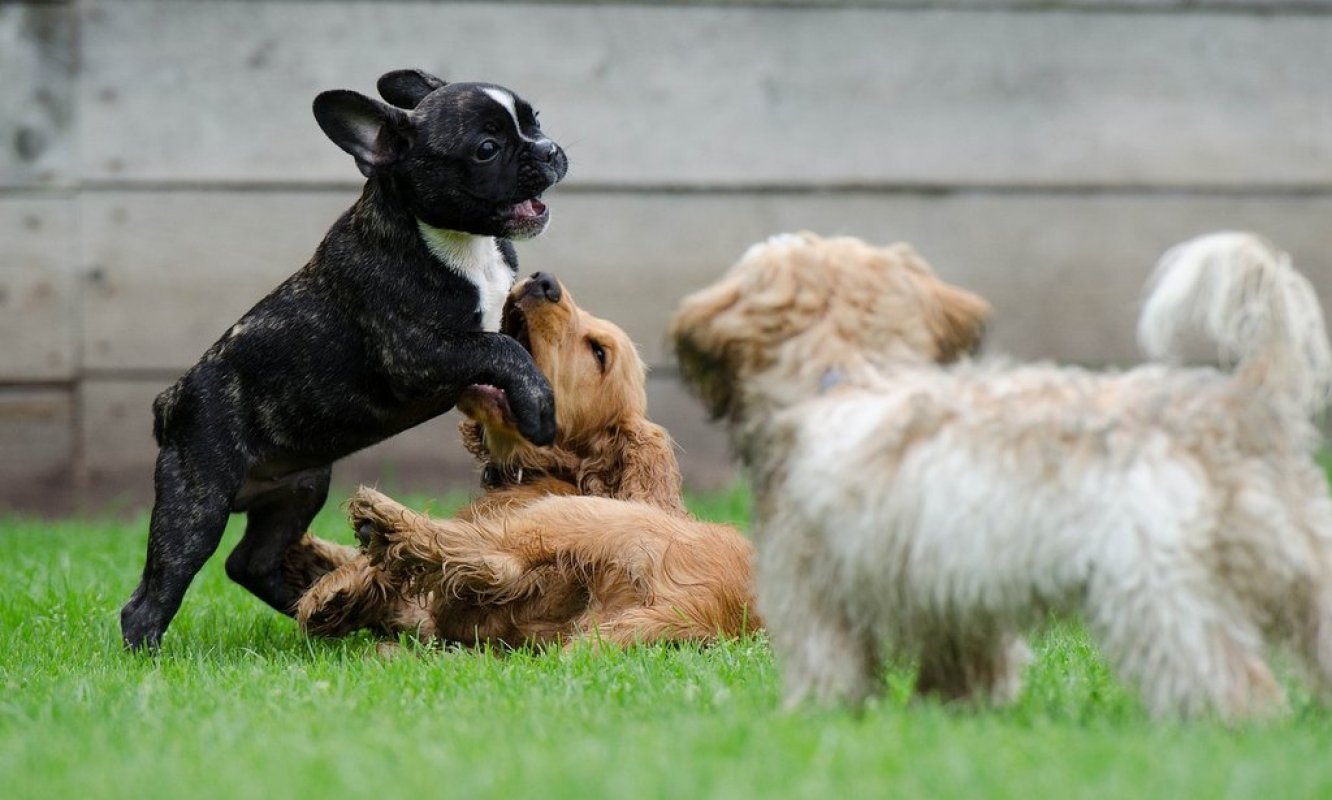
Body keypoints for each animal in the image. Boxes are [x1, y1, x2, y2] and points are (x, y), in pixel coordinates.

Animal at [118, 68, 567, 649]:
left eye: (534, 120)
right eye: (486, 149)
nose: (550, 148)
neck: (459, 241)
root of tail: (171, 400)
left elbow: (512, 341)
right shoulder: (418, 354)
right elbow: (500, 347)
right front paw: (538, 409)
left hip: (299, 489)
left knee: (250, 562)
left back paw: (321, 611)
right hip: (196, 503)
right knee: (156, 591)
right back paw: (150, 654)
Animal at [285, 271, 756, 646]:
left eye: (598, 352)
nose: (543, 280)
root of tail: (703, 609)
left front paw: (335, 585)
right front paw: (316, 559)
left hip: (576, 518)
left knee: (493, 559)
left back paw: (381, 521)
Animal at [671, 228, 1332, 718]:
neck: (849, 374)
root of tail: (1241, 404)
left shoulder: (814, 590)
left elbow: (828, 665)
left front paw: (817, 717)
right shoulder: (954, 597)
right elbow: (966, 665)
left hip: (1159, 591)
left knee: (1229, 677)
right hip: (1307, 573)